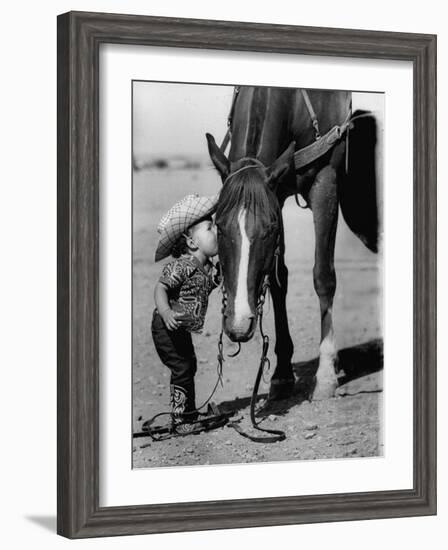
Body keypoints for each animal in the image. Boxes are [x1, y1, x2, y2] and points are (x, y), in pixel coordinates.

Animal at [206, 86, 378, 402]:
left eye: (269, 228)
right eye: (219, 226)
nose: (239, 324)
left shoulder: (325, 181)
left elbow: (323, 277)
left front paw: (325, 375)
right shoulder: (278, 191)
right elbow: (278, 280)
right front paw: (282, 373)